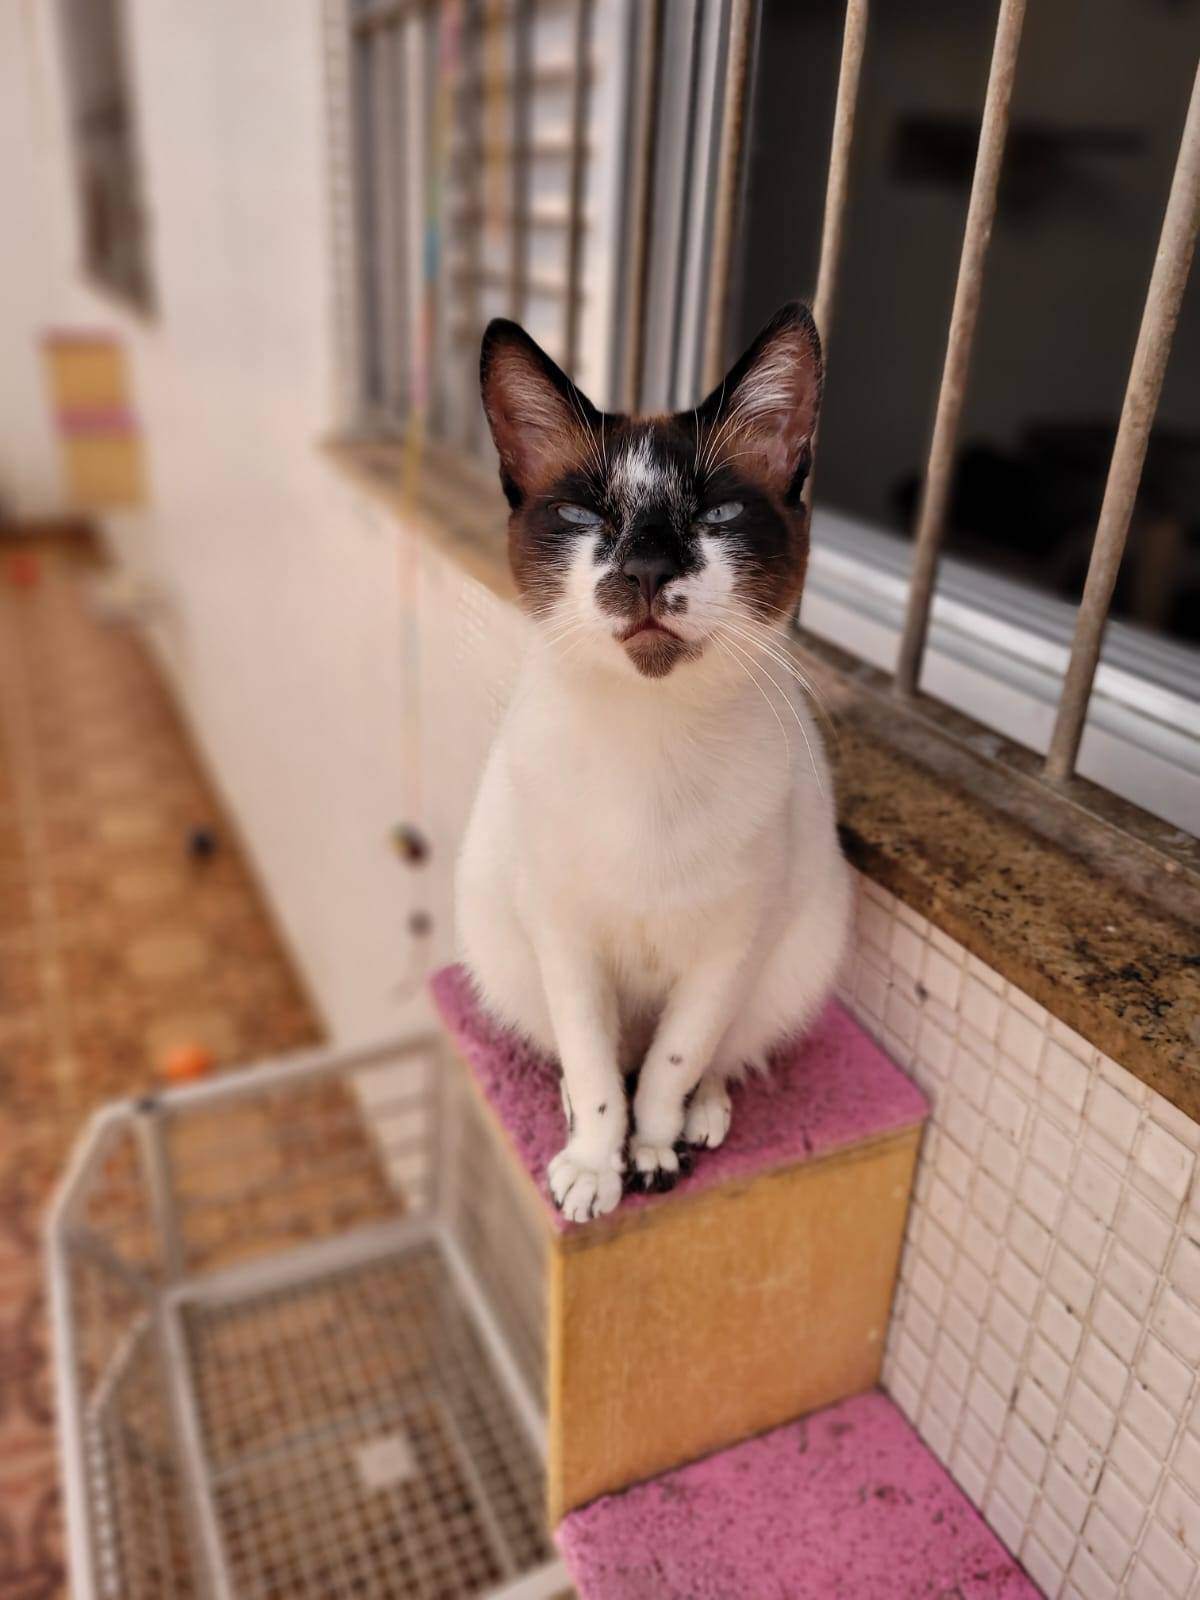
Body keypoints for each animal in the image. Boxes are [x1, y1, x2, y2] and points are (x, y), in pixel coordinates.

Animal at [456, 302, 851, 1222]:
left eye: (721, 515)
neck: (653, 739)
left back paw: (703, 1116)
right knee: (583, 1053)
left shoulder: (728, 949)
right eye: (583, 519)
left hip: (800, 952)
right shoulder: (563, 938)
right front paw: (596, 1164)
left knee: (722, 1047)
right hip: (499, 947)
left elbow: (673, 1059)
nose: (643, 569)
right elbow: (599, 1066)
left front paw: (654, 1148)